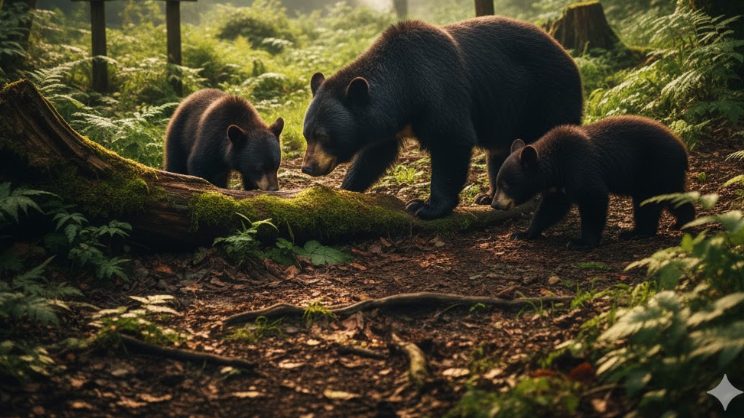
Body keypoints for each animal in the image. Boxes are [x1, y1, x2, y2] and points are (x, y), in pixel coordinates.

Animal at [300, 16, 583, 219]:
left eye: (324, 136)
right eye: (306, 135)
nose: (308, 167)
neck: (405, 87)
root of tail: (568, 54)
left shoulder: (438, 88)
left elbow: (451, 140)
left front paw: (425, 207)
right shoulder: (389, 122)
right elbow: (375, 154)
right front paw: (346, 189)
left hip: (548, 96)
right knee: (500, 152)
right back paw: (489, 195)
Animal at [491, 115, 696, 249]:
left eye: (506, 185)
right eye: (498, 183)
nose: (495, 204)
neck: (557, 165)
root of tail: (682, 148)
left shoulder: (580, 165)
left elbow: (594, 197)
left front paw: (581, 242)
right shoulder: (558, 186)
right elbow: (551, 207)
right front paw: (523, 233)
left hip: (657, 167)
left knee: (661, 198)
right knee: (655, 200)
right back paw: (646, 230)